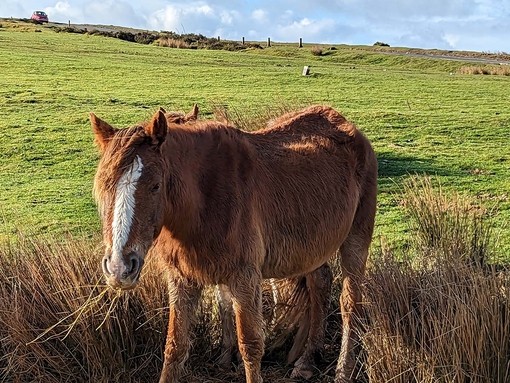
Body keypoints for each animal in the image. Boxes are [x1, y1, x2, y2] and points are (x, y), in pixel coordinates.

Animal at [90, 105, 378, 383]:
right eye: (103, 186)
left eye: (155, 186)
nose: (119, 268)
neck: (205, 200)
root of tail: (349, 128)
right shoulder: (183, 279)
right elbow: (175, 346)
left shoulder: (244, 278)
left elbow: (250, 346)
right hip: (313, 247)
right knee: (320, 284)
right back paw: (306, 361)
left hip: (355, 241)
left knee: (350, 303)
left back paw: (343, 370)